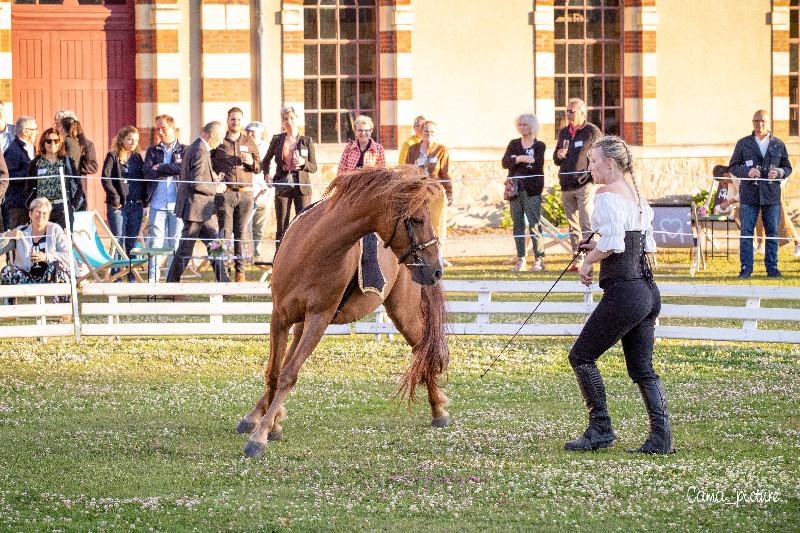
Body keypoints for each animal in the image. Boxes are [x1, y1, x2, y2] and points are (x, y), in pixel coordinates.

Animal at [236, 167, 450, 458]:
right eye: (417, 220)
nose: (436, 269)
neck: (314, 248)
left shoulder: (319, 318)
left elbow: (288, 374)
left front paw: (262, 435)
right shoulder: (279, 316)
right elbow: (274, 372)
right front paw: (270, 424)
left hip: (402, 313)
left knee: (423, 350)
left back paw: (438, 409)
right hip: (300, 322)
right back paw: (259, 415)